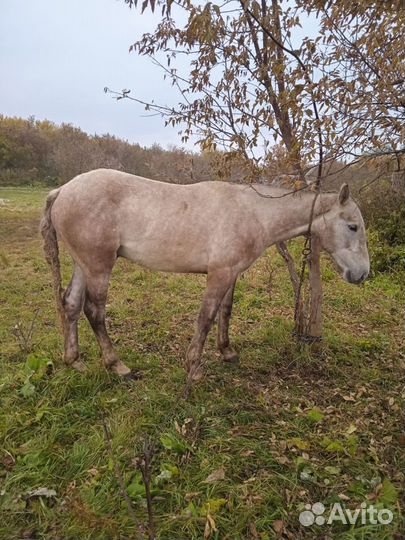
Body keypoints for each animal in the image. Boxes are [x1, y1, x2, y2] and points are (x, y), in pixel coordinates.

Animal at [40, 169, 370, 384]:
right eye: (352, 226)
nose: (362, 273)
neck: (253, 213)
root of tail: (63, 190)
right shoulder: (219, 274)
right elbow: (206, 318)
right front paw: (194, 367)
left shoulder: (231, 273)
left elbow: (225, 311)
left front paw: (227, 352)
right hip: (99, 266)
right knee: (93, 311)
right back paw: (118, 366)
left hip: (83, 264)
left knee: (71, 305)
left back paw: (75, 361)